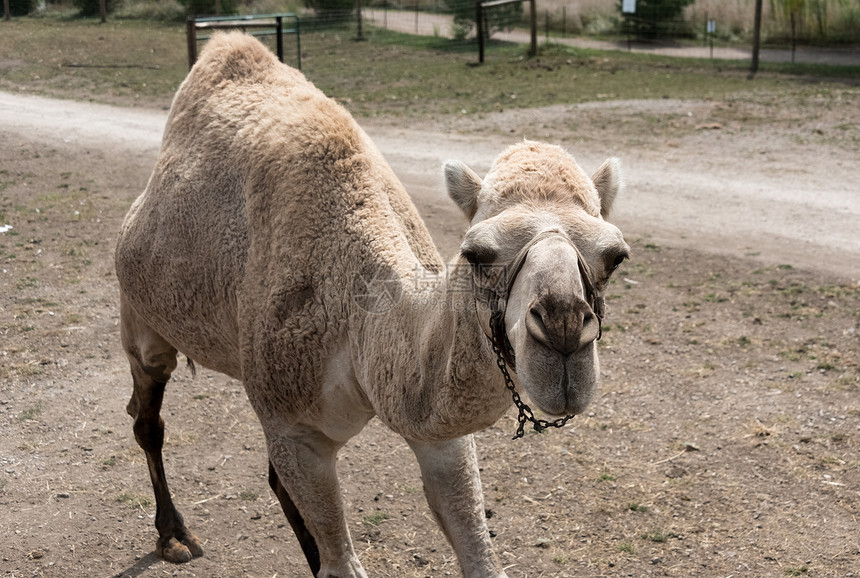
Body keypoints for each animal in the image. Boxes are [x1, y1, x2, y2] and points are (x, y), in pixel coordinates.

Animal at [114, 32, 628, 576]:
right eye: (476, 253)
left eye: (615, 256)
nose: (563, 331)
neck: (360, 327)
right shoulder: (293, 424)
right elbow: (340, 563)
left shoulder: (438, 433)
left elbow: (479, 553)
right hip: (140, 313)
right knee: (147, 416)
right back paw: (174, 536)